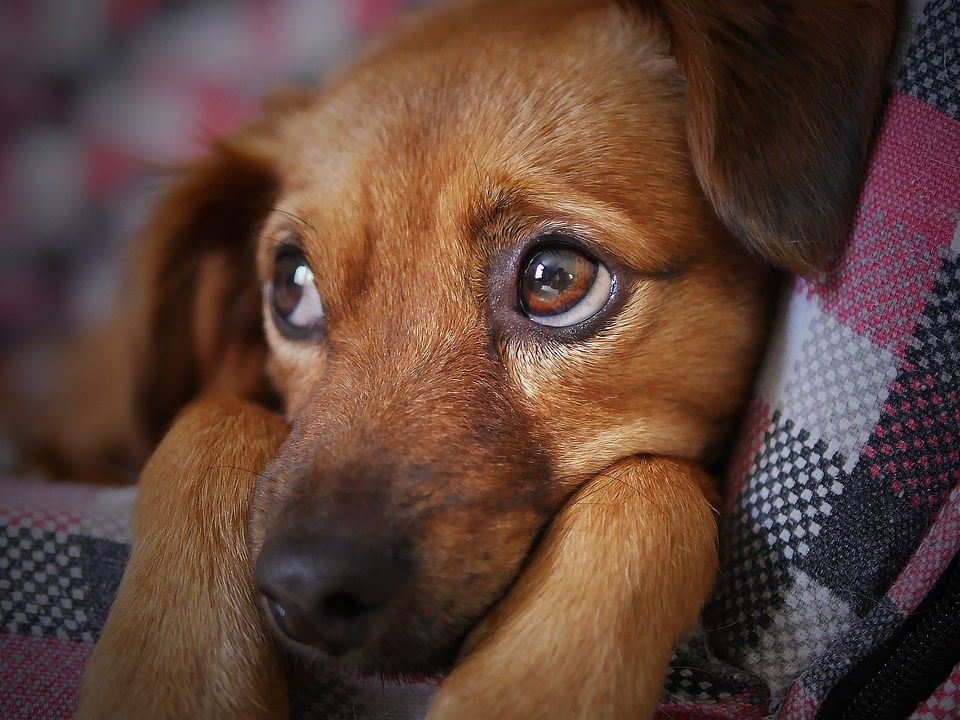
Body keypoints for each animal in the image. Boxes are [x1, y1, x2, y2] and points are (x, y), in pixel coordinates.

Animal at [71, 0, 896, 716]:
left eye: (555, 278)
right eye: (292, 286)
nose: (305, 592)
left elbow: (651, 484)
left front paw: (526, 688)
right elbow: (210, 415)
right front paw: (170, 678)